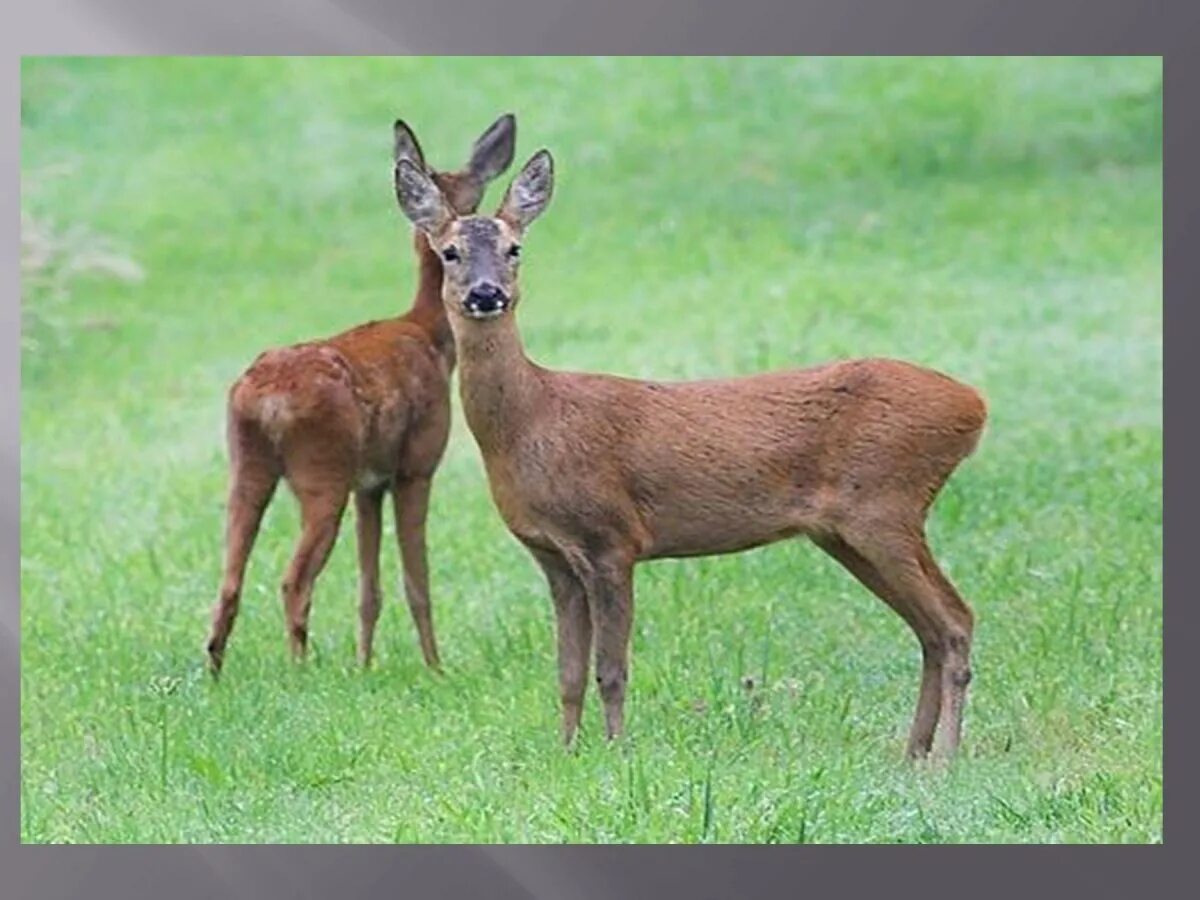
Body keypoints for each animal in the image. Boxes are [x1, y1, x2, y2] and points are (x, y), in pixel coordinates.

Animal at [206, 112, 516, 676]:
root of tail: (265, 399)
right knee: (293, 579)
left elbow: (368, 588)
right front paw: (435, 666)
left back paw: (216, 674)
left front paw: (365, 663)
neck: (430, 335)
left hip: (247, 465)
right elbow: (417, 581)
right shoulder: (416, 465)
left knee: (230, 580)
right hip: (321, 468)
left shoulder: (368, 483)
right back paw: (299, 668)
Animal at [393, 148, 993, 763]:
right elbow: (567, 673)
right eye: (450, 252)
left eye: (516, 248)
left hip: (885, 504)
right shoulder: (553, 555)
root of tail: (974, 405)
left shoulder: (612, 538)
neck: (532, 421)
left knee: (955, 620)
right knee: (929, 629)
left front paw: (616, 750)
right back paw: (913, 752)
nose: (486, 293)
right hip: (848, 531)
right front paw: (567, 750)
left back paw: (943, 757)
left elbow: (611, 669)